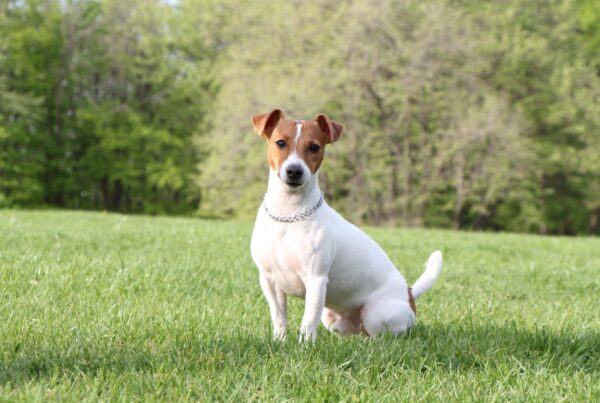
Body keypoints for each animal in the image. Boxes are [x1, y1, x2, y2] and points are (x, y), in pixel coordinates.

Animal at [248, 109, 440, 342]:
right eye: (280, 143)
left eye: (314, 147)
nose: (294, 171)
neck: (289, 214)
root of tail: (409, 294)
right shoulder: (269, 281)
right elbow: (279, 318)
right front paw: (279, 342)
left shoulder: (316, 280)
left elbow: (308, 320)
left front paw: (305, 345)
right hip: (332, 319)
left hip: (375, 313)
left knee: (382, 335)